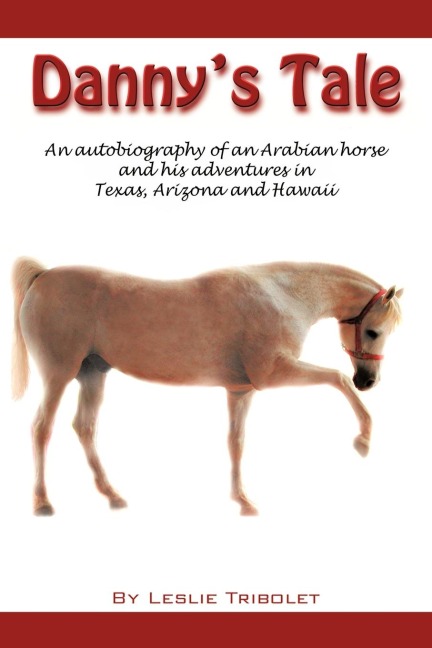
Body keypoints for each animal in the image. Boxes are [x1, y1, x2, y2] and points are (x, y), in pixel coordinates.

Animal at [11, 258, 403, 516]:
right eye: (373, 331)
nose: (367, 381)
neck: (282, 295)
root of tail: (43, 276)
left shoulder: (240, 391)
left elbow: (236, 443)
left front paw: (242, 500)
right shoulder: (274, 374)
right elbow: (336, 378)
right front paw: (364, 439)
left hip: (93, 375)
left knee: (84, 427)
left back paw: (113, 496)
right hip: (58, 375)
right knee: (42, 428)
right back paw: (43, 501)